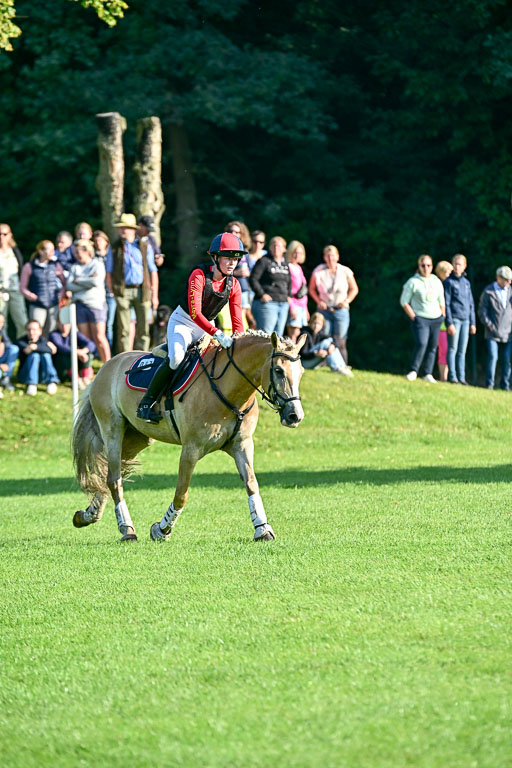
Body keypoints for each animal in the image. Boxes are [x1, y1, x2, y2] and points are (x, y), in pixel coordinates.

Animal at [71, 330, 306, 543]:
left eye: (301, 372)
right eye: (278, 370)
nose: (295, 416)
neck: (229, 390)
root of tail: (107, 365)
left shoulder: (242, 445)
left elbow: (251, 484)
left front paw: (262, 528)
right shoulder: (191, 449)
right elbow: (181, 495)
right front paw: (161, 529)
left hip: (137, 438)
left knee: (107, 475)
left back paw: (88, 515)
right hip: (113, 431)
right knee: (114, 479)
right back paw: (126, 529)